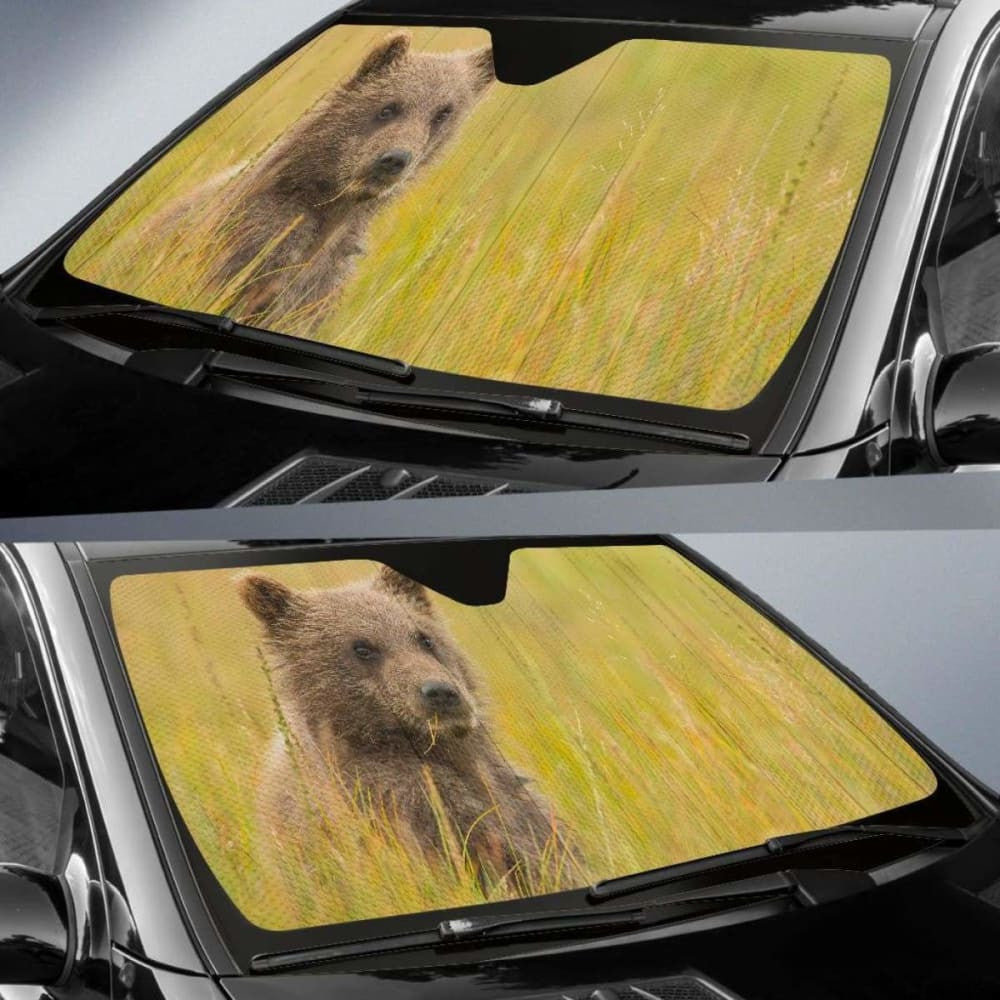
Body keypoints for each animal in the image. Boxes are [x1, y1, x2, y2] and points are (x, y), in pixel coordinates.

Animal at [157, 32, 494, 330]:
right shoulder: (253, 236)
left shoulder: (320, 280)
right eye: (389, 106)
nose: (395, 159)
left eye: (442, 113)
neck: (330, 204)